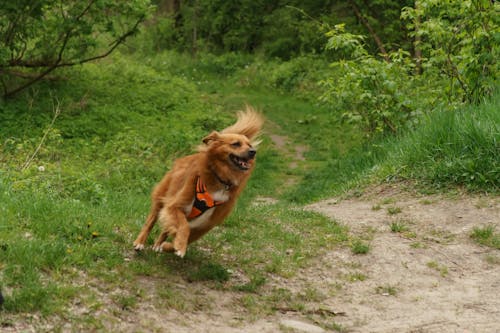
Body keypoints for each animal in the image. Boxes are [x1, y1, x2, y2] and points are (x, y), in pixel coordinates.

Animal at [133, 106, 266, 256]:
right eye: (236, 144)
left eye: (249, 145)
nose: (253, 151)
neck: (220, 178)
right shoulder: (175, 205)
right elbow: (184, 226)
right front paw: (180, 246)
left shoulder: (206, 224)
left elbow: (188, 235)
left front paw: (170, 246)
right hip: (162, 197)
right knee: (150, 221)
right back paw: (140, 242)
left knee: (166, 227)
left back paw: (158, 244)